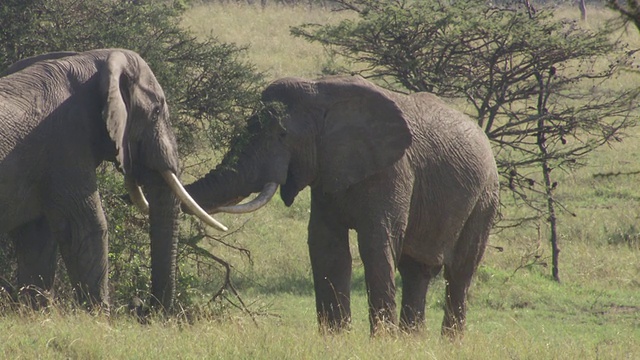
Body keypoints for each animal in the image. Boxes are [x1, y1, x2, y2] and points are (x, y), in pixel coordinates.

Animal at [0, 49, 226, 310]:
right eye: (156, 112)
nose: (143, 307)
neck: (90, 61)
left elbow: (36, 238)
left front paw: (35, 312)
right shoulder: (67, 144)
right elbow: (86, 226)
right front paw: (97, 316)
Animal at [186, 76, 500, 338]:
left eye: (282, 135)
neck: (323, 93)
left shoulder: (393, 171)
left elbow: (376, 243)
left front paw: (381, 342)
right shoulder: (327, 169)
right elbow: (327, 246)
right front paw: (336, 338)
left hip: (486, 195)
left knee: (460, 272)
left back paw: (449, 343)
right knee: (416, 271)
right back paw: (413, 341)